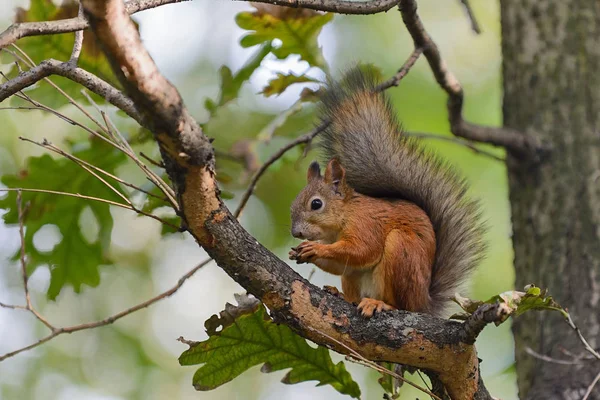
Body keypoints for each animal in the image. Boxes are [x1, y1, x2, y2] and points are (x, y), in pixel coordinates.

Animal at [288, 69, 486, 318]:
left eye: (316, 204)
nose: (296, 233)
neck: (344, 217)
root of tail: (424, 304)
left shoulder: (367, 224)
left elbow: (362, 250)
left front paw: (316, 248)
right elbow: (340, 264)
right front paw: (303, 252)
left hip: (402, 251)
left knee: (401, 304)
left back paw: (380, 304)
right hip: (354, 278)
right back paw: (342, 295)